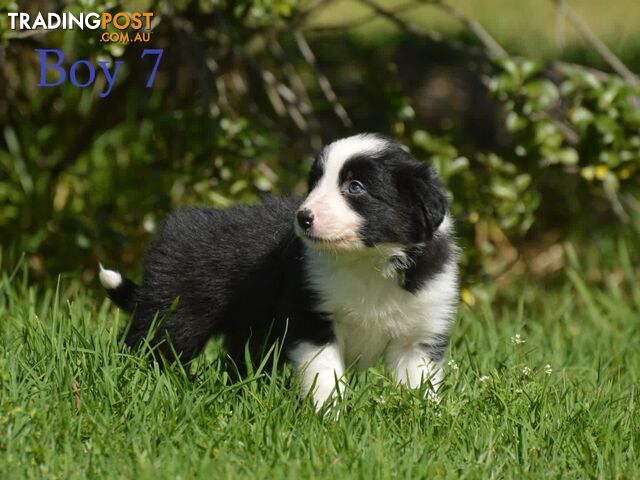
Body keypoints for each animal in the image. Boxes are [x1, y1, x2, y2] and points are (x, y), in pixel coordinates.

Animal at [100, 134, 458, 408]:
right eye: (314, 183)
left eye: (356, 186)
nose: (303, 217)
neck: (365, 261)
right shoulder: (311, 315)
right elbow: (325, 374)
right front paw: (328, 415)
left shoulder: (417, 335)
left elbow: (417, 382)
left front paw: (420, 417)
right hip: (177, 309)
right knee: (150, 345)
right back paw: (133, 383)